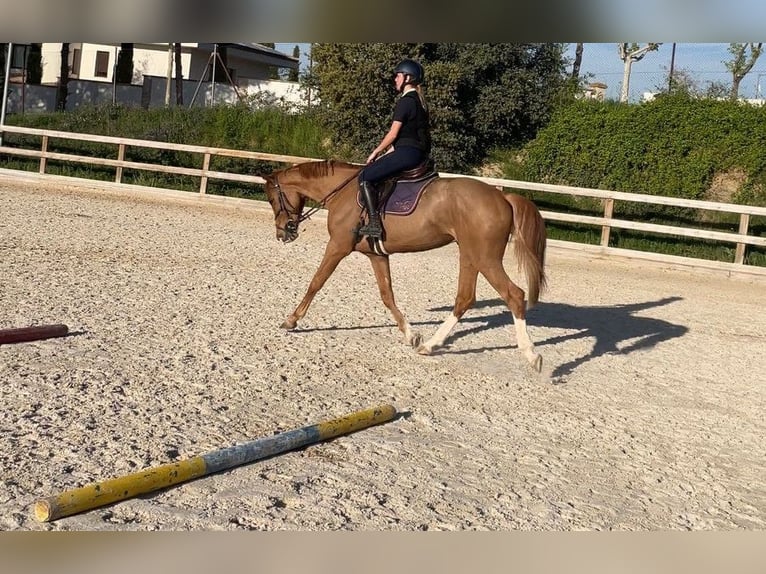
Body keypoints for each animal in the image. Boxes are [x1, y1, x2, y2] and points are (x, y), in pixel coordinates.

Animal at [264, 160, 552, 372]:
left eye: (272, 200)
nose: (283, 233)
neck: (341, 192)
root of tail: (502, 197)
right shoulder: (377, 255)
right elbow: (387, 295)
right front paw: (410, 334)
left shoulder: (337, 247)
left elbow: (316, 282)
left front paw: (291, 320)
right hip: (470, 255)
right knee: (465, 298)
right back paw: (430, 345)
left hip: (485, 257)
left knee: (514, 294)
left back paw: (531, 355)